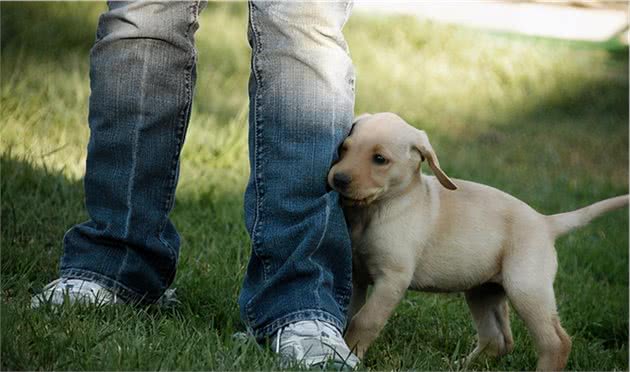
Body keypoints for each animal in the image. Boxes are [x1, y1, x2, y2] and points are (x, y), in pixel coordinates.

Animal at [328, 112, 628, 370]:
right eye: (344, 148)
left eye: (379, 159)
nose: (338, 179)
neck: (377, 209)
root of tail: (545, 222)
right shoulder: (357, 275)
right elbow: (348, 313)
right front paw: (341, 347)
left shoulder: (392, 279)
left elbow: (364, 320)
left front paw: (349, 355)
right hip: (483, 291)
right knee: (498, 340)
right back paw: (459, 365)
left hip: (526, 288)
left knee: (556, 341)